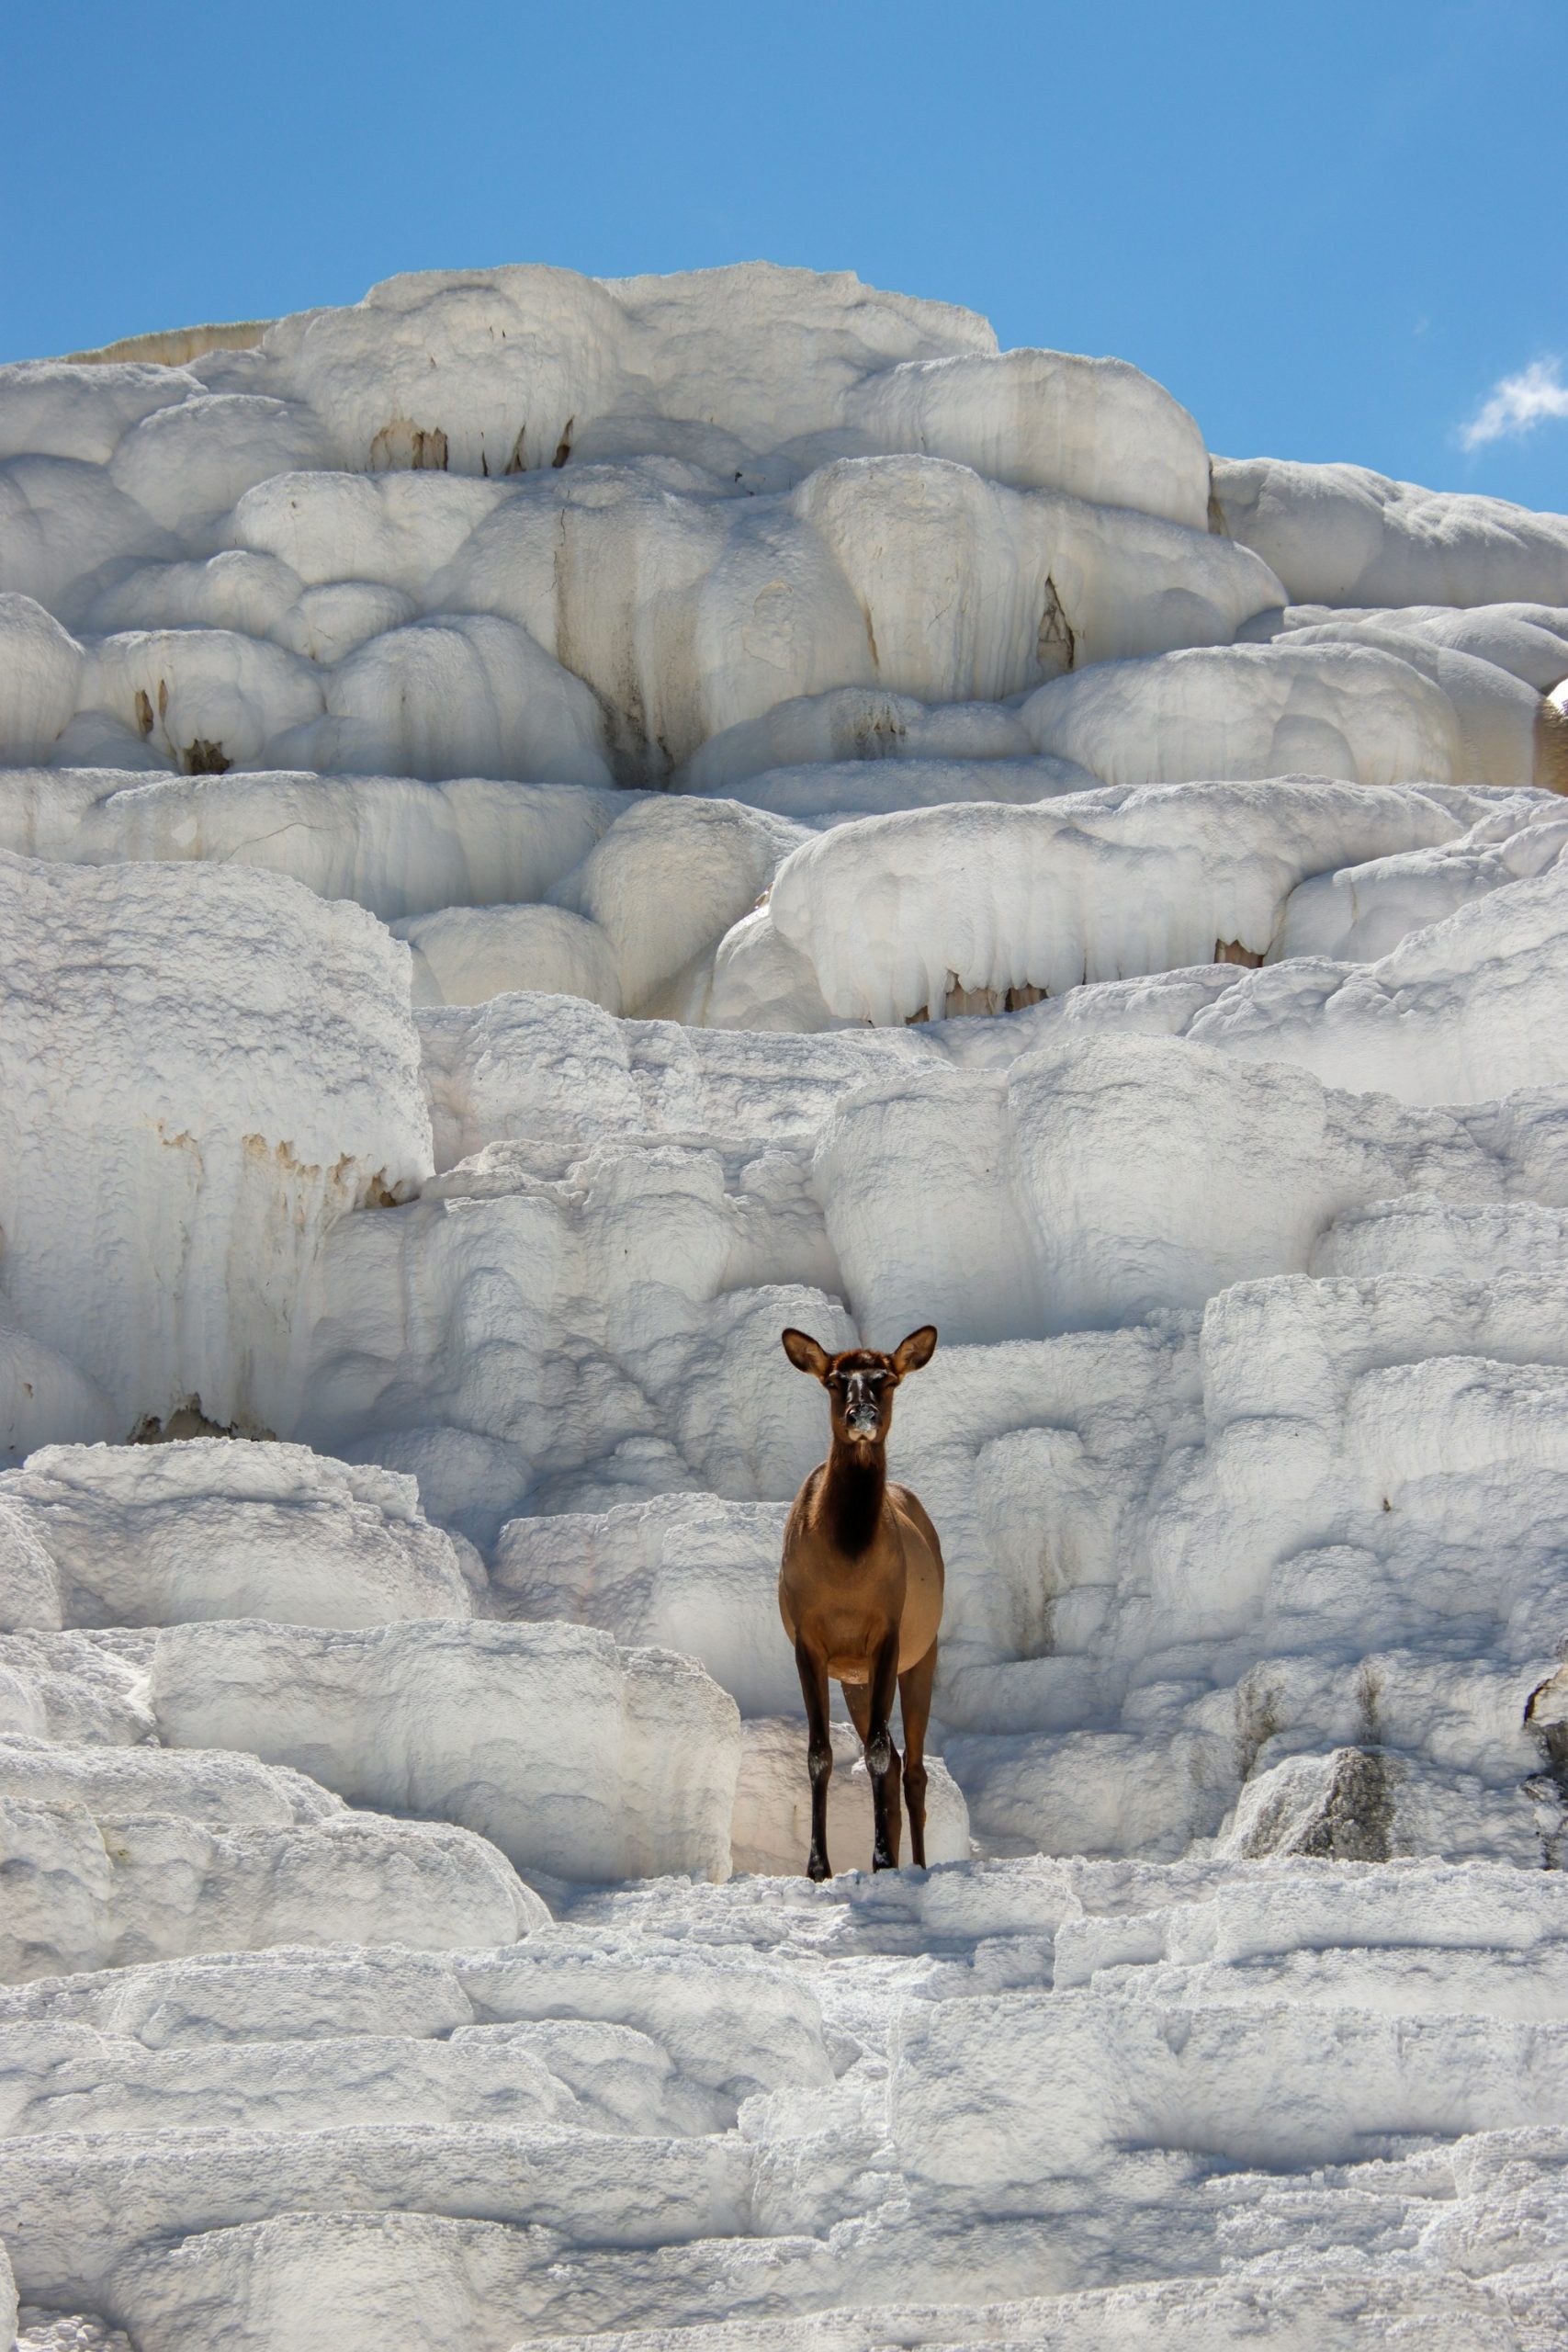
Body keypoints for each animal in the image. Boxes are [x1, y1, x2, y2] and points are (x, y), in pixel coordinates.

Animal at [778, 1325, 945, 1880]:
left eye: (887, 1379)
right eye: (834, 1382)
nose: (863, 1416)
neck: (847, 1569)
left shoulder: (888, 1633)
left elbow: (873, 1753)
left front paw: (880, 1858)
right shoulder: (808, 1639)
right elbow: (819, 1754)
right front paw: (818, 1866)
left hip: (923, 1652)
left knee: (912, 1767)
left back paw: (913, 1862)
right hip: (857, 1677)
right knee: (897, 1762)